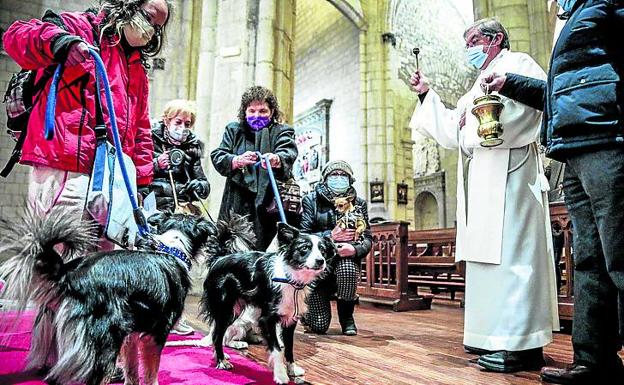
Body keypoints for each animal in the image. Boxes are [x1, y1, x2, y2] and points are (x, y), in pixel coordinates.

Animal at [0, 207, 254, 384]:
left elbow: (132, 373)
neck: (171, 248)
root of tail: (68, 275)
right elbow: (150, 374)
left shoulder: (130, 337)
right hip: (101, 345)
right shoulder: (155, 334)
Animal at [202, 222, 334, 384]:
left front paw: (292, 370)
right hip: (225, 309)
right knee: (217, 335)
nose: (320, 261)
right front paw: (281, 375)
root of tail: (219, 258)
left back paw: (220, 356)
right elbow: (277, 349)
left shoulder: (290, 321)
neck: (290, 277)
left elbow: (289, 348)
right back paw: (221, 361)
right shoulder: (267, 320)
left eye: (323, 250)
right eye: (304, 248)